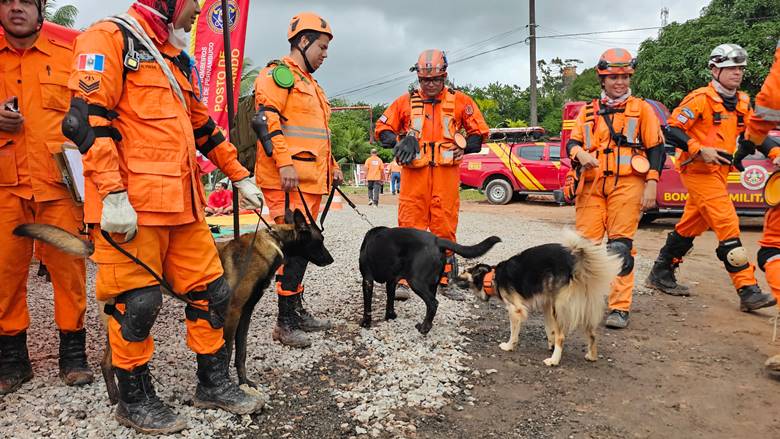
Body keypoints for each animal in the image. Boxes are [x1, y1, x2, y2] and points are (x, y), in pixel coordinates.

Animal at [13, 208, 333, 401]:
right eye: (319, 241)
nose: (330, 260)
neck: (272, 242)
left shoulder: (244, 315)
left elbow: (241, 353)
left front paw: (245, 381)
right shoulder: (230, 314)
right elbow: (227, 350)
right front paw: (228, 383)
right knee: (110, 362)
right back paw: (117, 400)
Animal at [359, 227, 501, 334]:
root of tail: (437, 240)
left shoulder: (367, 279)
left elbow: (367, 305)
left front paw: (365, 322)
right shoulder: (391, 281)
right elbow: (390, 300)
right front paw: (390, 316)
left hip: (416, 281)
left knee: (433, 303)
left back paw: (424, 328)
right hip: (433, 284)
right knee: (431, 304)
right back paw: (428, 325)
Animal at [456, 230, 621, 366]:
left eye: (464, 271)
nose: (453, 275)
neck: (493, 277)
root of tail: (576, 265)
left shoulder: (515, 309)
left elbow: (513, 332)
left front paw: (509, 346)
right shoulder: (546, 305)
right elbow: (549, 329)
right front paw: (550, 344)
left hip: (559, 307)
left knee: (562, 337)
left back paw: (553, 361)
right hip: (579, 307)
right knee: (592, 333)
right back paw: (591, 356)